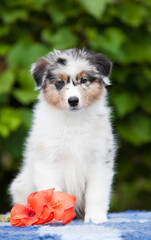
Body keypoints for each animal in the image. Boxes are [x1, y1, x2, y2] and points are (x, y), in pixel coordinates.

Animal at [9, 47, 115, 224]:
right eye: (60, 82)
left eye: (84, 80)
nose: (73, 101)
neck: (73, 121)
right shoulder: (48, 161)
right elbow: (52, 193)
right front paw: (53, 218)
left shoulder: (99, 160)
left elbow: (96, 193)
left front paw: (95, 218)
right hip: (21, 184)